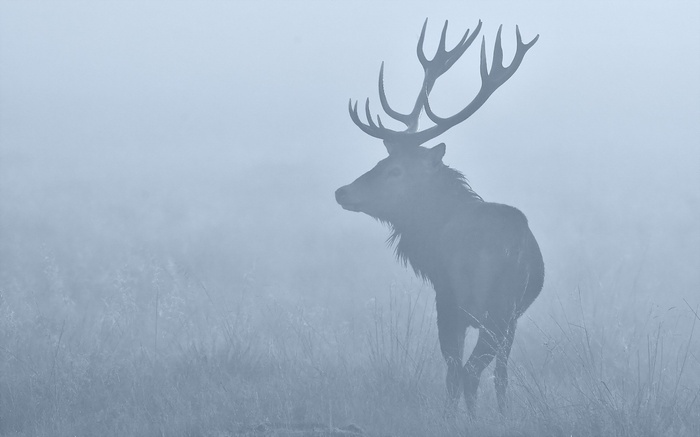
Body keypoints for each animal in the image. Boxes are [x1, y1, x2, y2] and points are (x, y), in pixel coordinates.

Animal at [335, 19, 544, 416]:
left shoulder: (459, 304)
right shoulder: (507, 318)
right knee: (476, 371)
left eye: (395, 170)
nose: (342, 192)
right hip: (493, 310)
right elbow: (500, 377)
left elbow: (468, 374)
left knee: (463, 371)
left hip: (473, 307)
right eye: (382, 161)